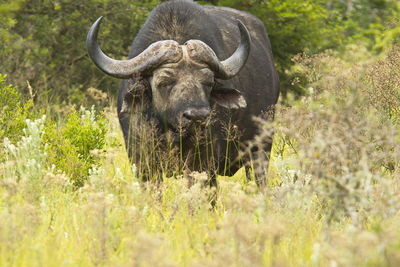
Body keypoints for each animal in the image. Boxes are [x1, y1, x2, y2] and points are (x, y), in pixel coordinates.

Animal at [85, 0, 278, 187]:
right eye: (164, 82)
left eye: (208, 82)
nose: (198, 116)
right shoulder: (143, 163)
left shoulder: (203, 165)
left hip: (261, 148)